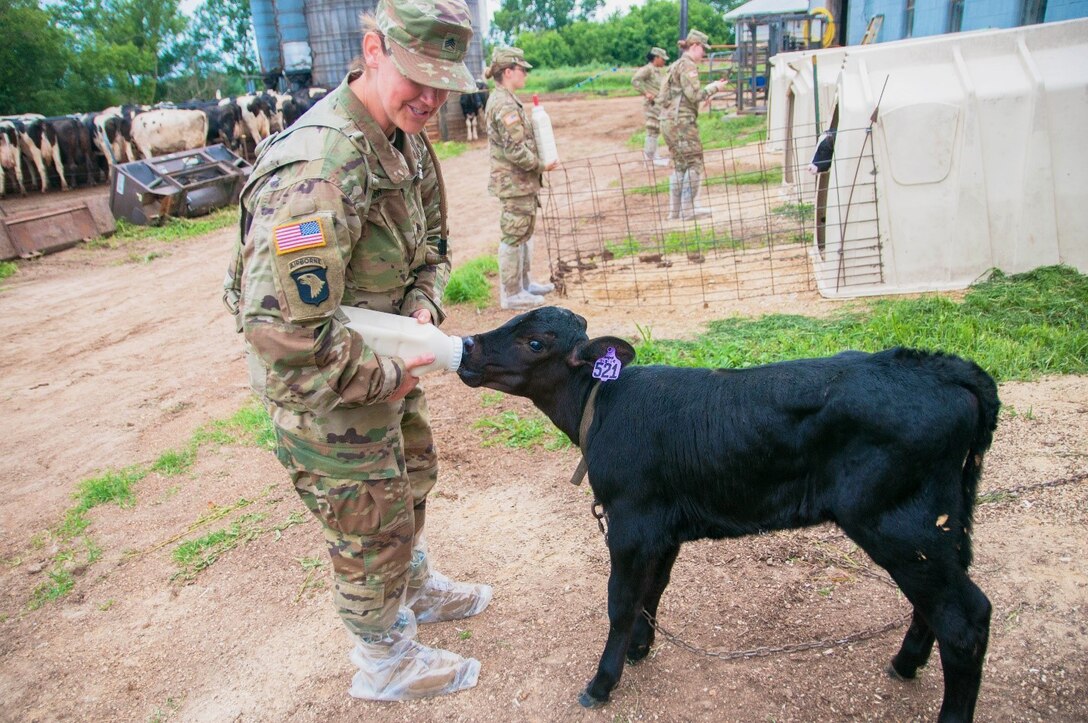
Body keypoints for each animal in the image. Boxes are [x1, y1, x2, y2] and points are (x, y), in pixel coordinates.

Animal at [454, 306, 996, 721]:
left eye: (535, 342)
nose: (467, 346)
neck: (602, 407)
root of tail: (943, 367)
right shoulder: (662, 528)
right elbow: (653, 589)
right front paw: (640, 648)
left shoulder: (631, 523)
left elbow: (620, 601)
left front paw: (602, 683)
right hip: (942, 520)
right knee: (940, 603)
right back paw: (905, 662)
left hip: (897, 524)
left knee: (965, 620)